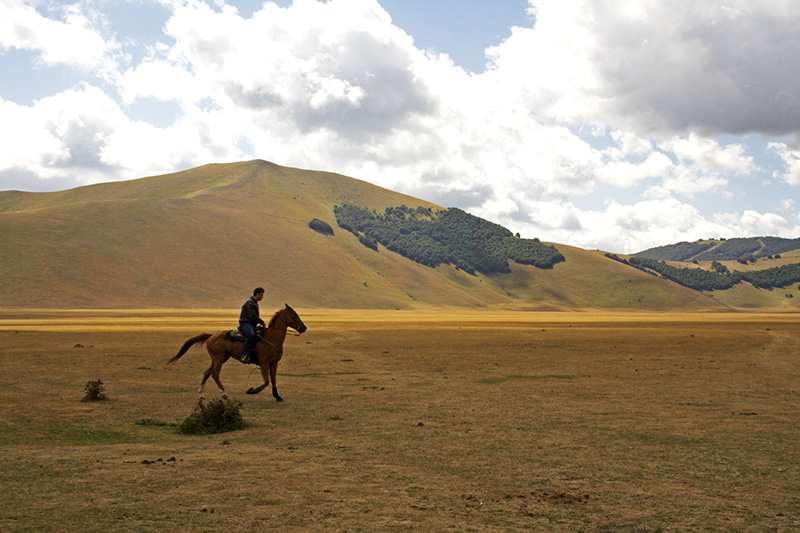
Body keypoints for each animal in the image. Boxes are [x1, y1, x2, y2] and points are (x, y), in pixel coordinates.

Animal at [167, 304, 307, 401]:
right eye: (294, 315)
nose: (304, 328)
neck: (271, 338)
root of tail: (212, 335)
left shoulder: (274, 364)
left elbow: (273, 380)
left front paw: (277, 396)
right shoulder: (264, 364)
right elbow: (266, 381)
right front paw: (252, 390)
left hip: (219, 358)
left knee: (207, 372)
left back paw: (201, 394)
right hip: (218, 358)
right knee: (215, 374)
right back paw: (224, 394)